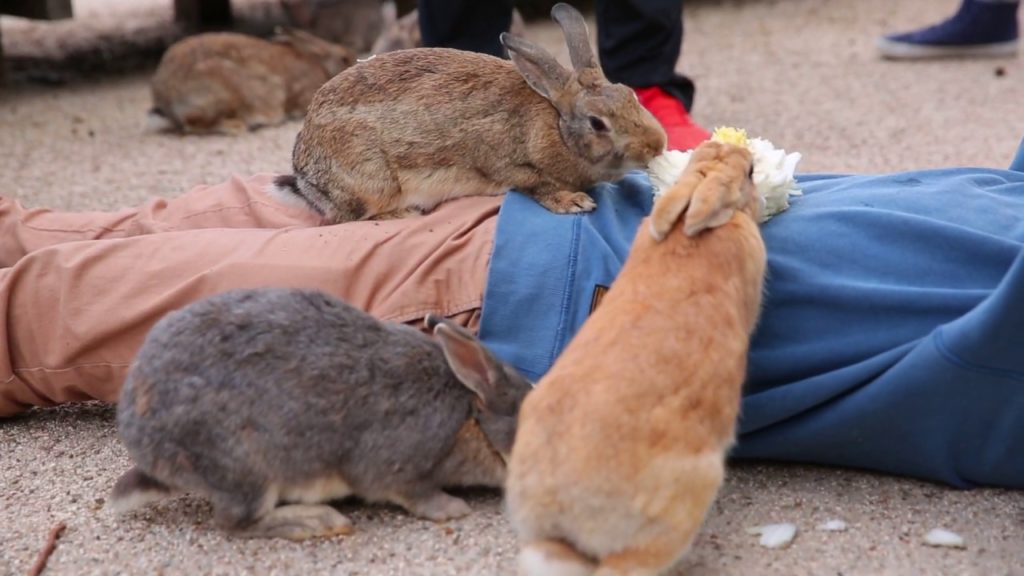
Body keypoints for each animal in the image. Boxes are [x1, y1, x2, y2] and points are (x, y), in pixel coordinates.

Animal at [108, 287, 533, 541]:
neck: (471, 418)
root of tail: (144, 445)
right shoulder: (399, 466)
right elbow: (413, 493)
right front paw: (453, 509)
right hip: (246, 468)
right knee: (235, 522)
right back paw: (317, 521)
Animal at [270, 2, 667, 224]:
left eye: (631, 94)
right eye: (597, 123)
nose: (657, 144)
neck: (556, 125)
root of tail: (305, 177)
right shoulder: (499, 160)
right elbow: (534, 184)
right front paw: (573, 202)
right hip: (371, 179)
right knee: (342, 218)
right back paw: (401, 213)